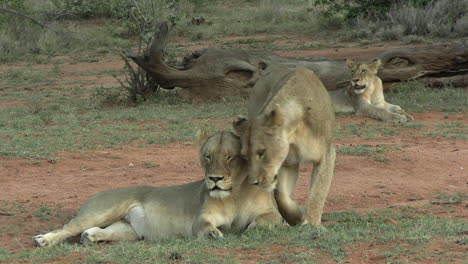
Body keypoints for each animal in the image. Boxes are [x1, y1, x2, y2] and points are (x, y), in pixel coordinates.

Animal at [33, 131, 282, 246]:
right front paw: (215, 234)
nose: (214, 178)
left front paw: (249, 228)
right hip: (100, 211)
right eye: (207, 156)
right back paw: (43, 240)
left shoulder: (273, 214)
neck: (234, 194)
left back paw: (90, 237)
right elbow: (205, 227)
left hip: (129, 231)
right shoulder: (199, 220)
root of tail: (98, 192)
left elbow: (264, 220)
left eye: (230, 157)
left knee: (99, 231)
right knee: (67, 228)